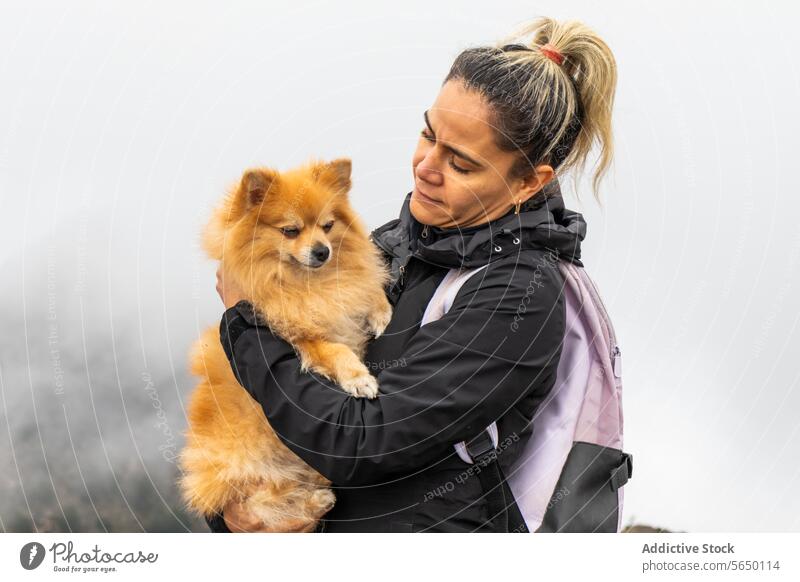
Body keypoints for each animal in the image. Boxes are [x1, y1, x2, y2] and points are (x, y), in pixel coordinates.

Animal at [180, 159, 394, 532]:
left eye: (328, 225)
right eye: (291, 231)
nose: (323, 251)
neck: (306, 284)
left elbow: (365, 285)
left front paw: (380, 310)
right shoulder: (302, 337)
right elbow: (336, 351)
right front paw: (358, 378)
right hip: (246, 470)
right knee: (264, 503)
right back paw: (315, 501)